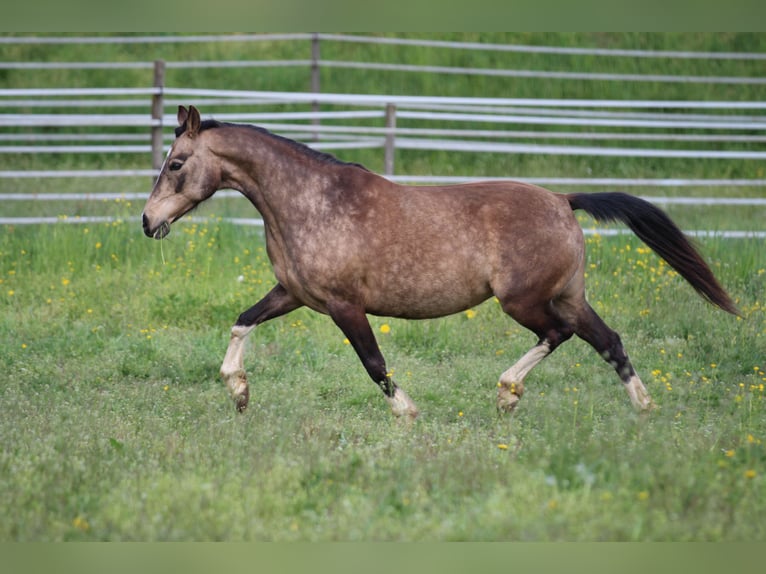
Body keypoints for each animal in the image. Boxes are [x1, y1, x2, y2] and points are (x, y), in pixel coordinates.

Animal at [142, 105, 738, 419]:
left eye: (176, 164)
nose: (147, 223)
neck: (312, 202)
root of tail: (562, 200)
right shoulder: (294, 294)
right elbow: (242, 321)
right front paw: (238, 390)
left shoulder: (344, 305)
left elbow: (375, 364)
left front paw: (408, 414)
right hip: (568, 293)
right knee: (608, 339)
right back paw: (644, 409)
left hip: (523, 300)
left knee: (559, 334)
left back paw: (507, 391)